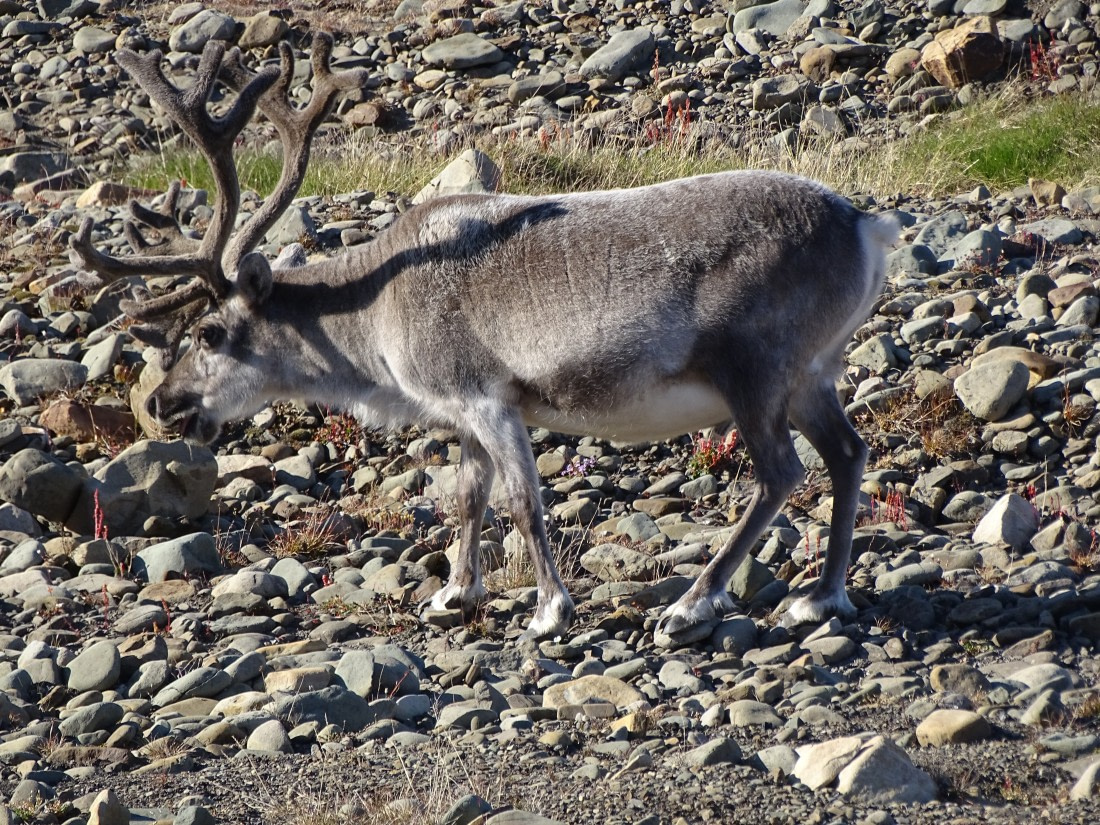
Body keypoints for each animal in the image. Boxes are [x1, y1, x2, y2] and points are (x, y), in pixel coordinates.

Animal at [69, 34, 899, 645]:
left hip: (754, 368)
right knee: (848, 452)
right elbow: (467, 495)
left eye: (210, 331)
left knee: (782, 472)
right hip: (812, 372)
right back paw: (822, 598)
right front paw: (454, 593)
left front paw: (550, 608)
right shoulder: (461, 411)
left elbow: (522, 500)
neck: (373, 318)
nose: (164, 403)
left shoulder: (490, 397)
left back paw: (691, 604)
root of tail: (866, 223)